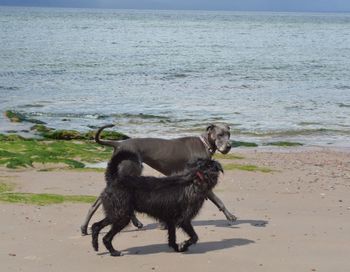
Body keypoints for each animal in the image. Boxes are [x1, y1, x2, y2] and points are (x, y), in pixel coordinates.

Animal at [80, 124, 237, 236]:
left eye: (229, 134)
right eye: (220, 134)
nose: (229, 146)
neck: (205, 144)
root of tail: (119, 144)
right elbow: (218, 200)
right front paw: (230, 216)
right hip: (129, 172)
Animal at [91, 150, 223, 256]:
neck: (196, 179)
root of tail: (114, 180)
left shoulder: (171, 220)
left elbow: (172, 239)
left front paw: (177, 248)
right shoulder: (184, 220)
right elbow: (194, 237)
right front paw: (184, 245)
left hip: (116, 213)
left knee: (95, 225)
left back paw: (95, 245)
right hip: (122, 216)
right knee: (106, 237)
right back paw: (113, 252)